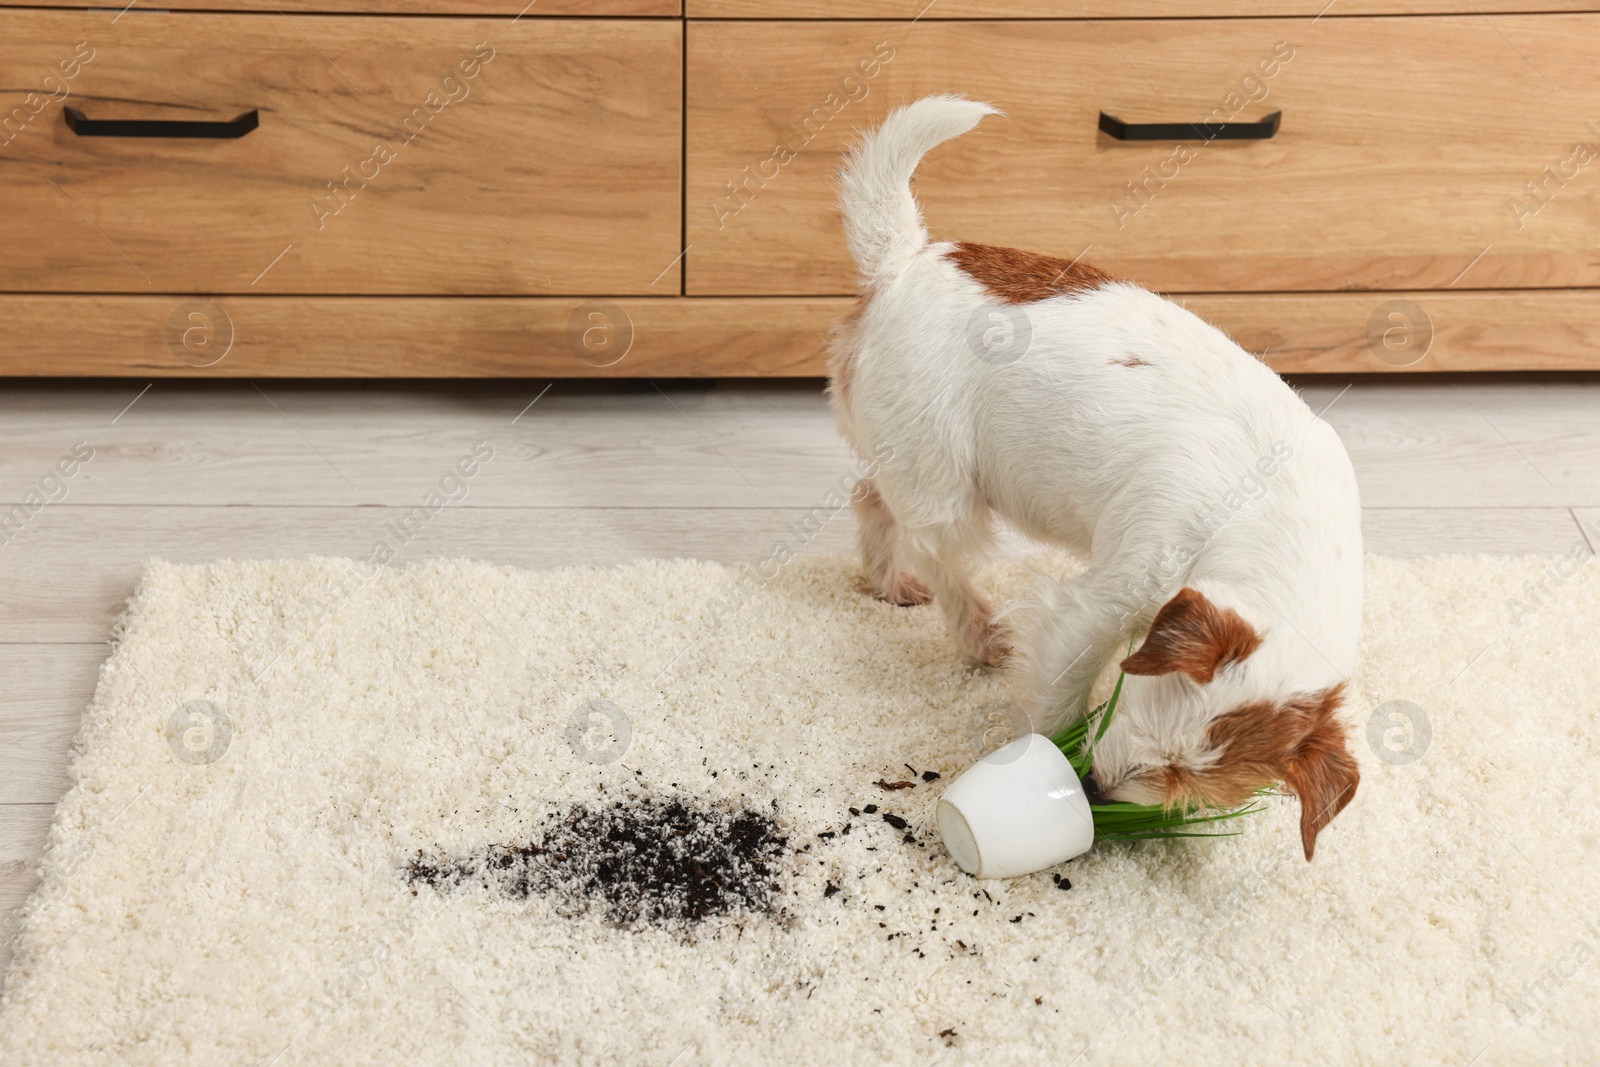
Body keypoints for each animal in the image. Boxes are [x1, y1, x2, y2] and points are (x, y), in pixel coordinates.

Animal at [825, 91, 1363, 857]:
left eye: (1182, 778)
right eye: (1153, 730)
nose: (1100, 791)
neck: (1270, 517)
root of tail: (904, 259)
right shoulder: (1099, 603)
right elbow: (1060, 686)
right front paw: (1048, 764)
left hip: (911, 461)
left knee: (871, 497)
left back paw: (886, 581)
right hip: (949, 489)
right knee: (939, 554)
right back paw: (979, 634)